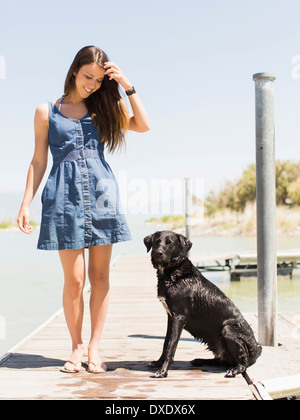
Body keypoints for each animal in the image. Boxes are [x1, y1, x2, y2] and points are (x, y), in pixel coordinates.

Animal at [144, 231, 262, 378]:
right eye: (156, 242)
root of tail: (257, 349)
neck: (173, 274)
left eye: (169, 243)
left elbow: (171, 345)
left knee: (242, 363)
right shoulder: (171, 317)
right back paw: (200, 360)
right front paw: (158, 363)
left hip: (228, 329)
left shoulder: (179, 317)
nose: (157, 253)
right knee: (221, 360)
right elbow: (166, 342)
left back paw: (234, 369)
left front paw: (163, 371)